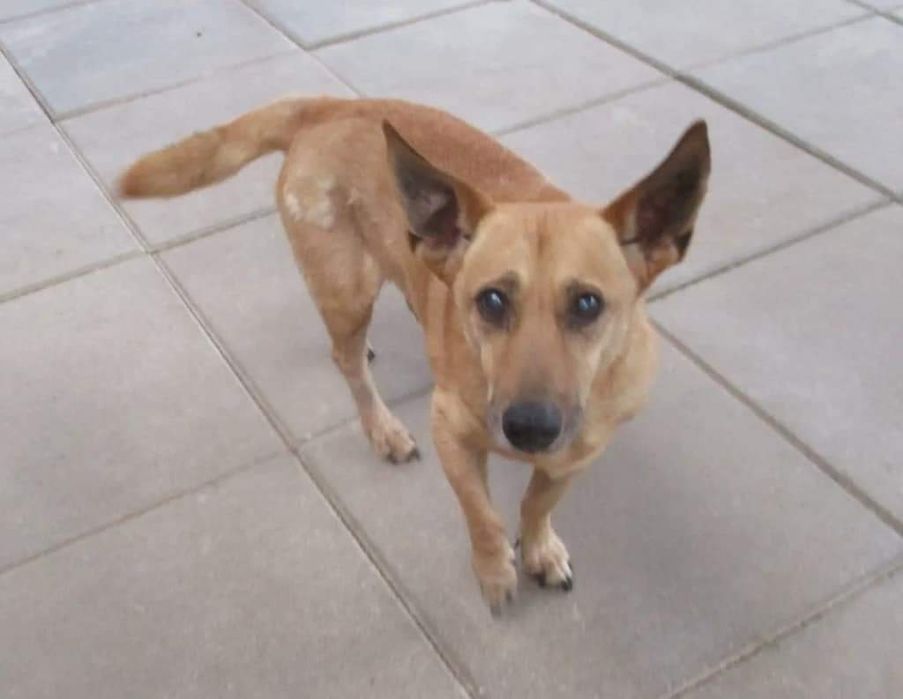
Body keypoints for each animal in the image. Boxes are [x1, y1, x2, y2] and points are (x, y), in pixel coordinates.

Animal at [120, 96, 710, 612]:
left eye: (588, 304)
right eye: (491, 300)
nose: (530, 428)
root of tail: (330, 105)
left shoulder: (578, 453)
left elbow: (537, 501)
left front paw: (539, 547)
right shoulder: (450, 432)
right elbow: (483, 515)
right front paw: (495, 570)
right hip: (348, 293)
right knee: (346, 362)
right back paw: (381, 427)